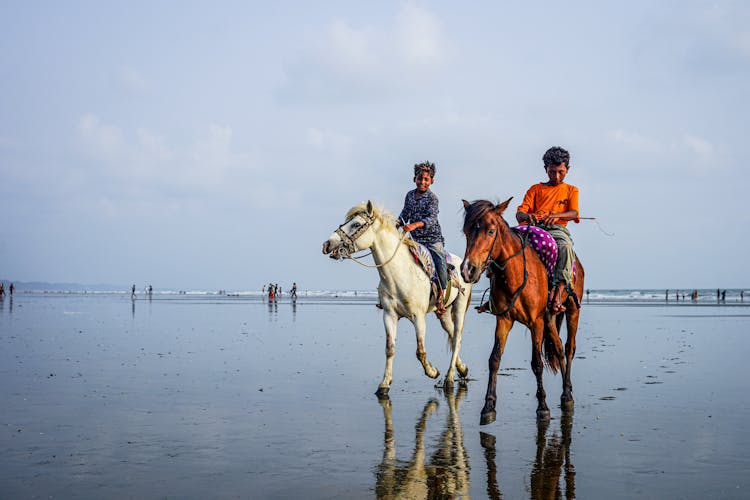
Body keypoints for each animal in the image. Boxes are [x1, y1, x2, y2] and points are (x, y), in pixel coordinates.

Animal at [320, 201, 472, 396]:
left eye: (356, 224)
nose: (327, 244)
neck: (400, 273)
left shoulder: (418, 317)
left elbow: (420, 351)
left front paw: (433, 372)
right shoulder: (389, 315)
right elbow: (390, 349)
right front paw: (384, 384)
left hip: (460, 307)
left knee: (457, 337)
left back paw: (449, 378)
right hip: (443, 313)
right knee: (452, 336)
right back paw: (462, 369)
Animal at [458, 197, 588, 424]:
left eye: (491, 231)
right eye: (466, 232)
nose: (468, 270)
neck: (516, 274)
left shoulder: (536, 322)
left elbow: (537, 363)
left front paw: (543, 407)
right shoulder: (504, 319)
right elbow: (494, 359)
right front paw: (488, 407)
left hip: (572, 310)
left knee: (569, 348)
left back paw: (567, 395)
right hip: (550, 317)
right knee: (559, 349)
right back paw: (567, 392)